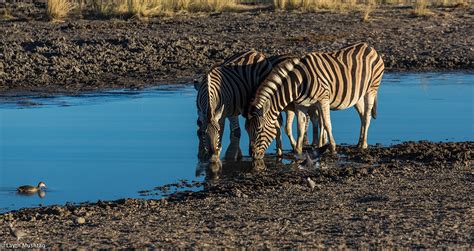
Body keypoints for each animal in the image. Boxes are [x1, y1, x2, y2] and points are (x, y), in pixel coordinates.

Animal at [246, 42, 386, 158]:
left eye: (259, 130)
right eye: (247, 130)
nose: (253, 155)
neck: (299, 82)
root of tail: (369, 46)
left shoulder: (323, 99)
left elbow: (327, 124)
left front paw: (332, 148)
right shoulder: (300, 105)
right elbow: (301, 128)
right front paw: (298, 150)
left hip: (371, 89)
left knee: (366, 116)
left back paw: (363, 145)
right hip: (357, 96)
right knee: (363, 115)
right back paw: (359, 142)